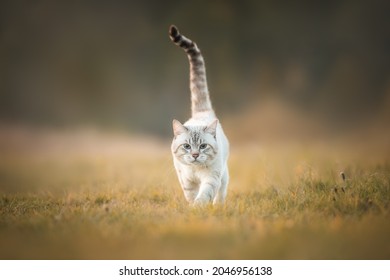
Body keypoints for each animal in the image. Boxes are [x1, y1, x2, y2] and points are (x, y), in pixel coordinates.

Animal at [168, 25, 229, 206]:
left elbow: (205, 194)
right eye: (187, 146)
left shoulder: (212, 178)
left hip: (223, 174)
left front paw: (198, 207)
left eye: (203, 146)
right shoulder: (186, 180)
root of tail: (201, 112)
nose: (195, 155)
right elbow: (190, 194)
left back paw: (218, 205)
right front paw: (191, 206)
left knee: (222, 190)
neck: (195, 170)